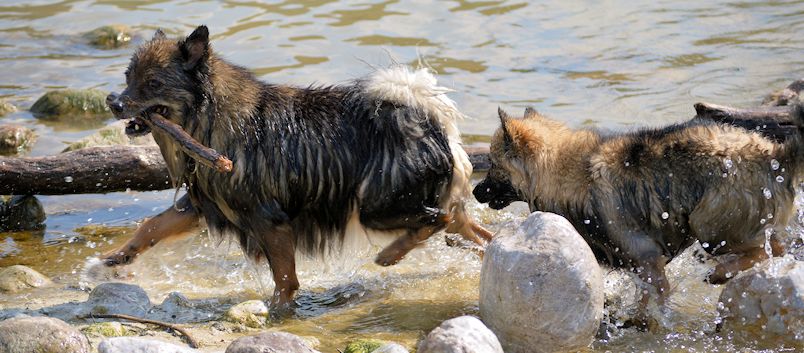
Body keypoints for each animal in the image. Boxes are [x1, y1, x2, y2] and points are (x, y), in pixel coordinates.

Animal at [100, 26, 490, 314]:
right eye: (127, 76)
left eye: (153, 84)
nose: (114, 102)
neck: (209, 120)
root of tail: (431, 123)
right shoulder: (206, 204)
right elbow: (152, 225)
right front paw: (118, 256)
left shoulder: (268, 219)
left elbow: (285, 278)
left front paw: (278, 312)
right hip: (430, 209)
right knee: (475, 234)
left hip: (376, 207)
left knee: (434, 219)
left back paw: (390, 254)